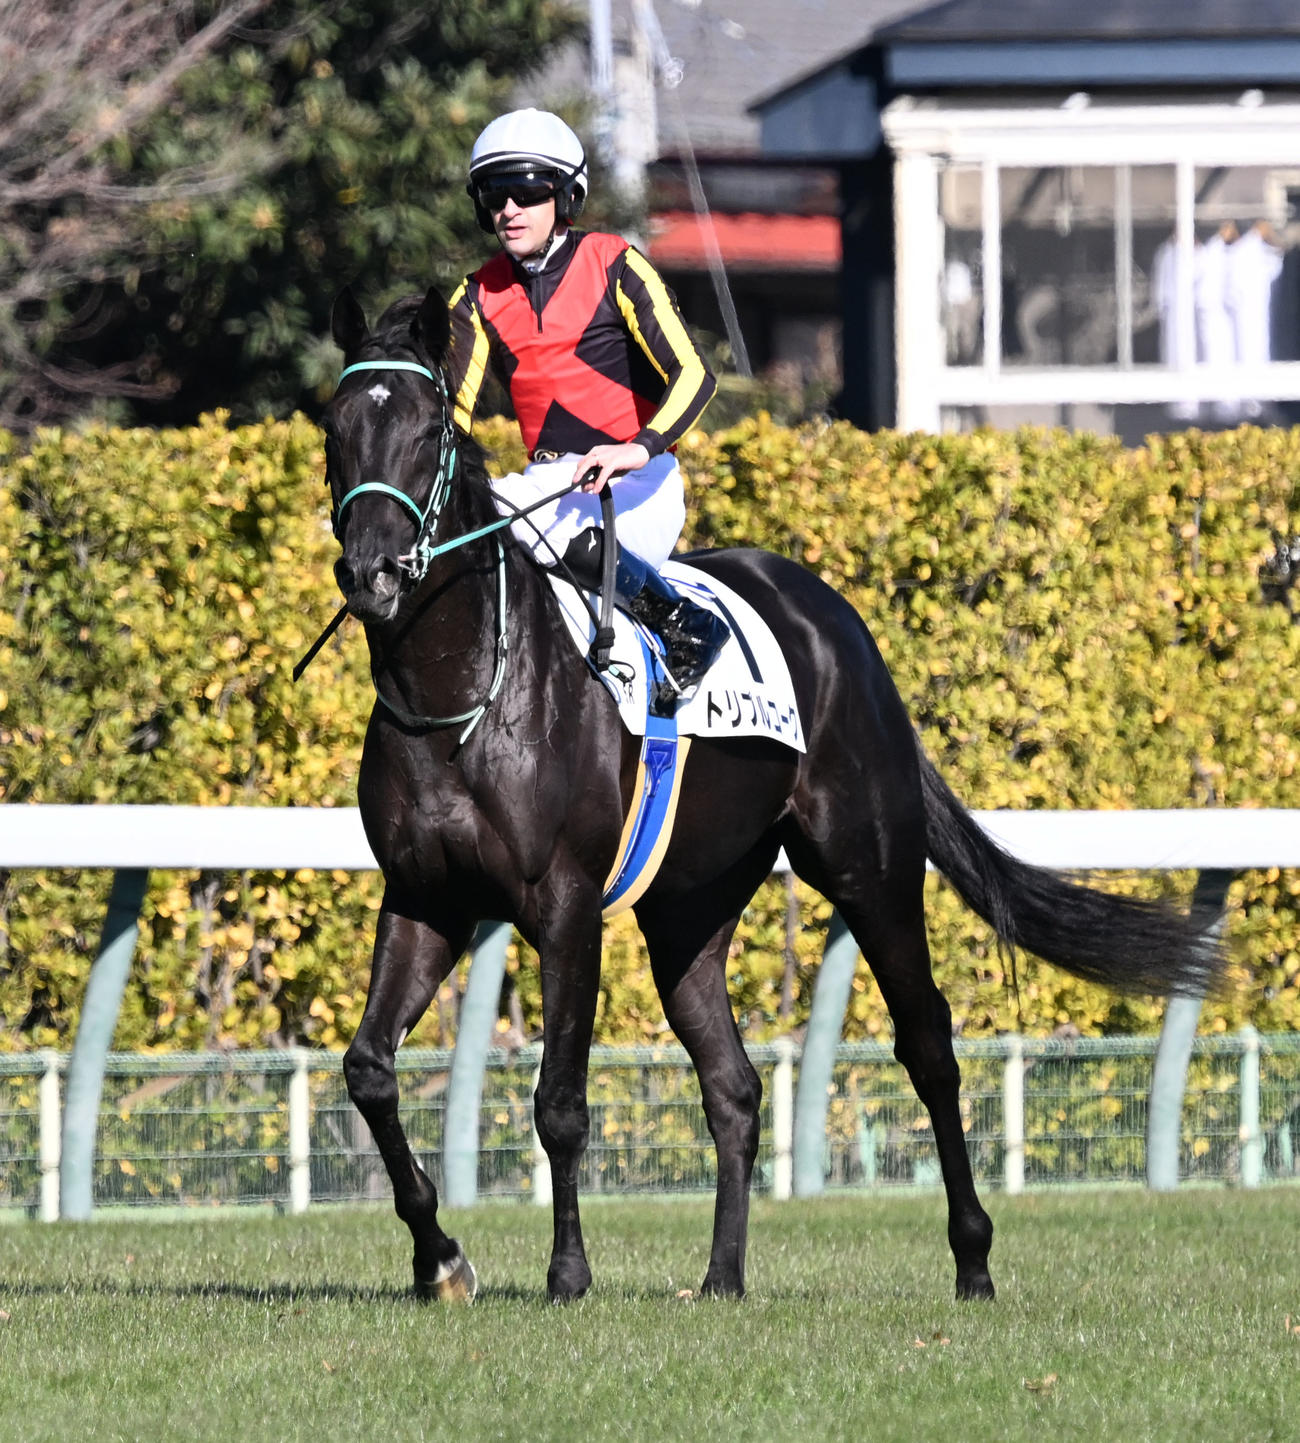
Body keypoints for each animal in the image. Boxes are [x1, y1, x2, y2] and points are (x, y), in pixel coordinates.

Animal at [320, 285, 1222, 1304]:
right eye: (337, 427)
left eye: (428, 429)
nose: (372, 571)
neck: (463, 694)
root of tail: (840, 621)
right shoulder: (426, 897)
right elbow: (369, 1068)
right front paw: (440, 1257)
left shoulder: (565, 904)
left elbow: (559, 1102)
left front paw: (567, 1272)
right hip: (688, 909)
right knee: (735, 1084)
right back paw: (722, 1274)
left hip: (870, 866)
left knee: (928, 1044)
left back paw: (973, 1258)